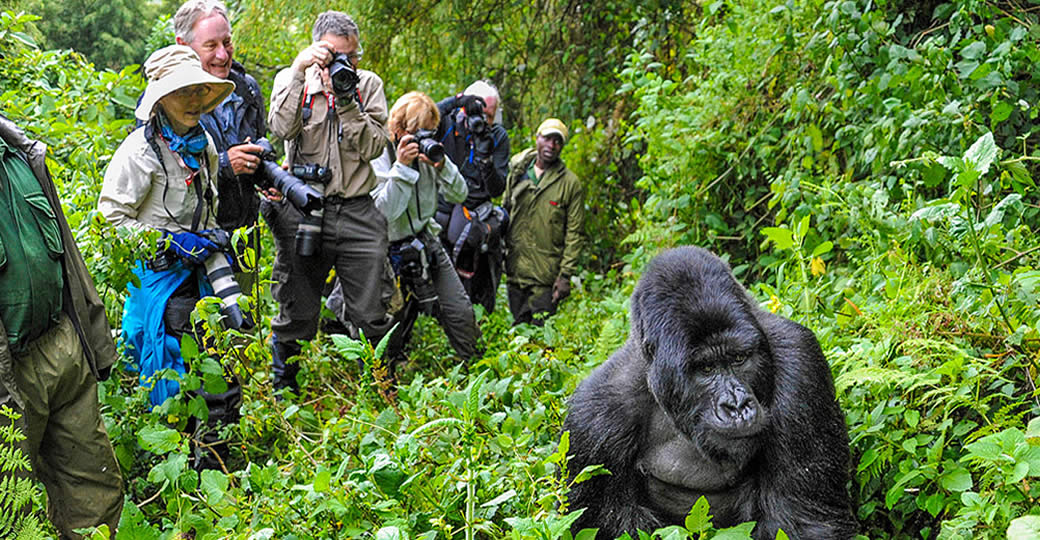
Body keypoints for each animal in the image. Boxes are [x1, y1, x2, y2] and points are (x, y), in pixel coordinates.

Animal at [565, 247, 856, 536]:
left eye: (739, 359)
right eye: (705, 368)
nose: (737, 406)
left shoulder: (800, 363)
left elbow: (803, 520)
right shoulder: (593, 422)